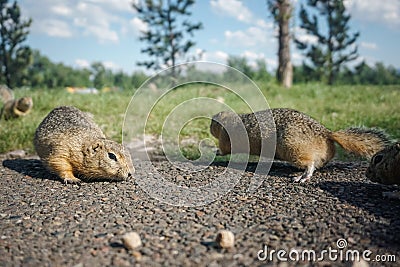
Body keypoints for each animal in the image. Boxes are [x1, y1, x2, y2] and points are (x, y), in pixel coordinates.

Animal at [211, 108, 390, 182]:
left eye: (213, 121)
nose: (209, 127)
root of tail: (327, 133)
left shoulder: (225, 140)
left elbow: (224, 150)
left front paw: (214, 150)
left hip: (294, 150)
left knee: (310, 164)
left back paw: (302, 176)